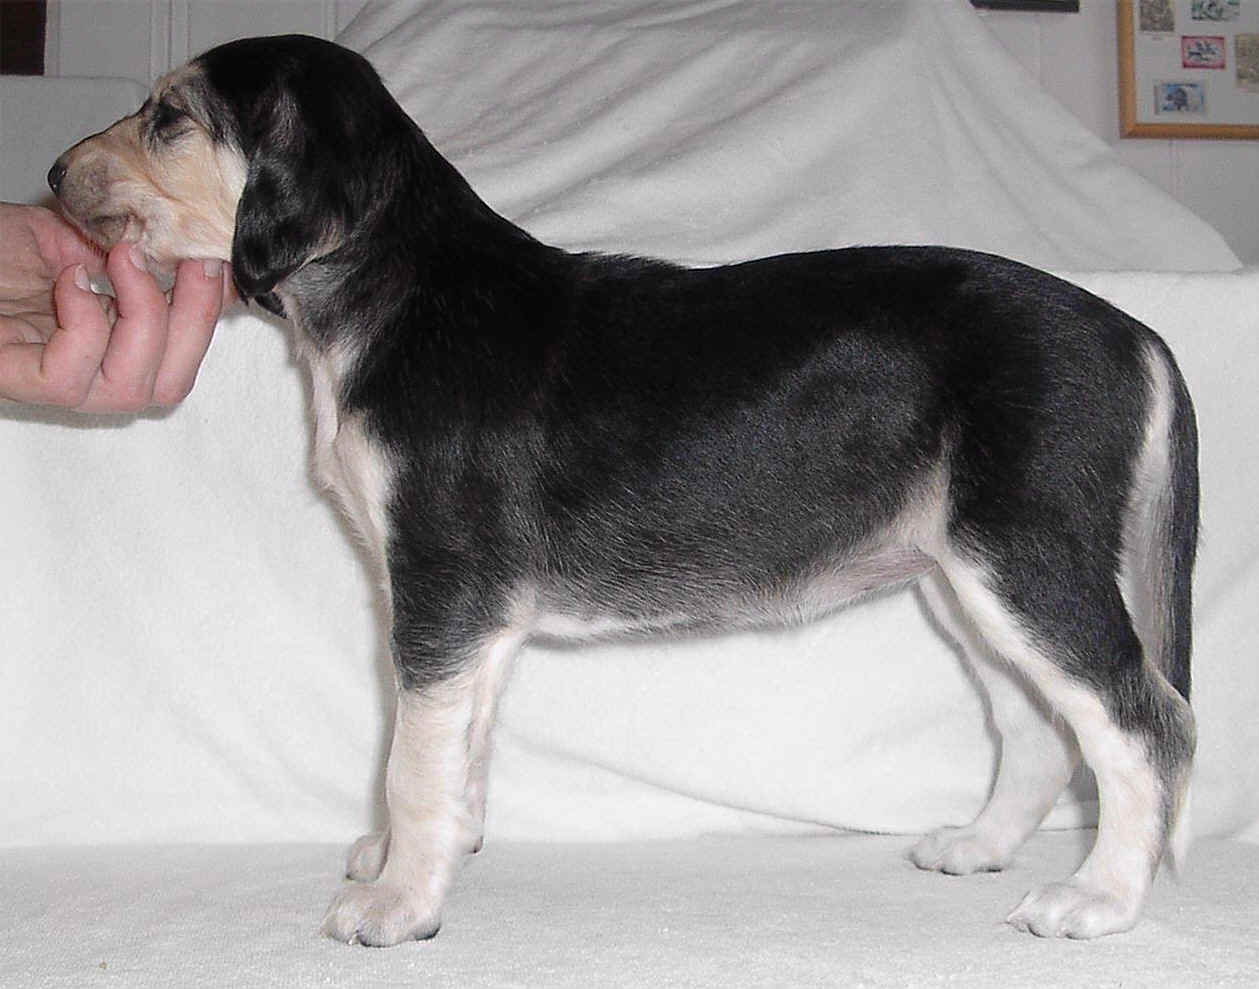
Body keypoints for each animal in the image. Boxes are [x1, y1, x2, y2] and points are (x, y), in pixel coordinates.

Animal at [49, 35, 1198, 944]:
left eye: (167, 117)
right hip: (961, 576)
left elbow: (410, 754)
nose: (53, 172)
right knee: (1040, 728)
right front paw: (435, 851)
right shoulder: (472, 617)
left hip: (1022, 559)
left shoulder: (438, 586)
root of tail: (1133, 333)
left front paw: (398, 902)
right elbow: (459, 744)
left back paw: (1099, 898)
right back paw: (980, 844)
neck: (397, 288)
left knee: (1145, 724)